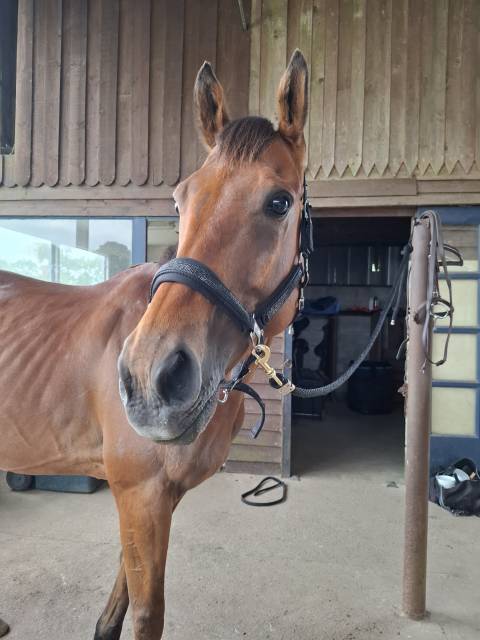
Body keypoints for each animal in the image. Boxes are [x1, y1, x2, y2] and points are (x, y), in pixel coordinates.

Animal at [0, 49, 309, 639]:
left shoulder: (153, 498)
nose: (149, 378)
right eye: (180, 199)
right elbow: (146, 614)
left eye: (280, 202)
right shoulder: (139, 493)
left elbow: (121, 601)